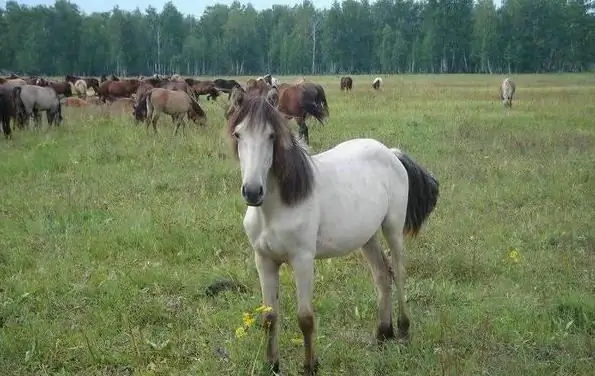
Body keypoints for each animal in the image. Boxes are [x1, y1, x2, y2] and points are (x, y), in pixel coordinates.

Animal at [226, 94, 440, 376]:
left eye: (272, 136)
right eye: (238, 134)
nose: (252, 191)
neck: (278, 207)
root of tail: (392, 153)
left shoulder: (302, 260)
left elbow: (305, 318)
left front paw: (310, 366)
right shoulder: (264, 260)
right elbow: (269, 317)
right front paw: (272, 365)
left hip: (392, 228)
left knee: (399, 272)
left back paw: (403, 331)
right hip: (367, 237)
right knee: (382, 275)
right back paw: (383, 334)